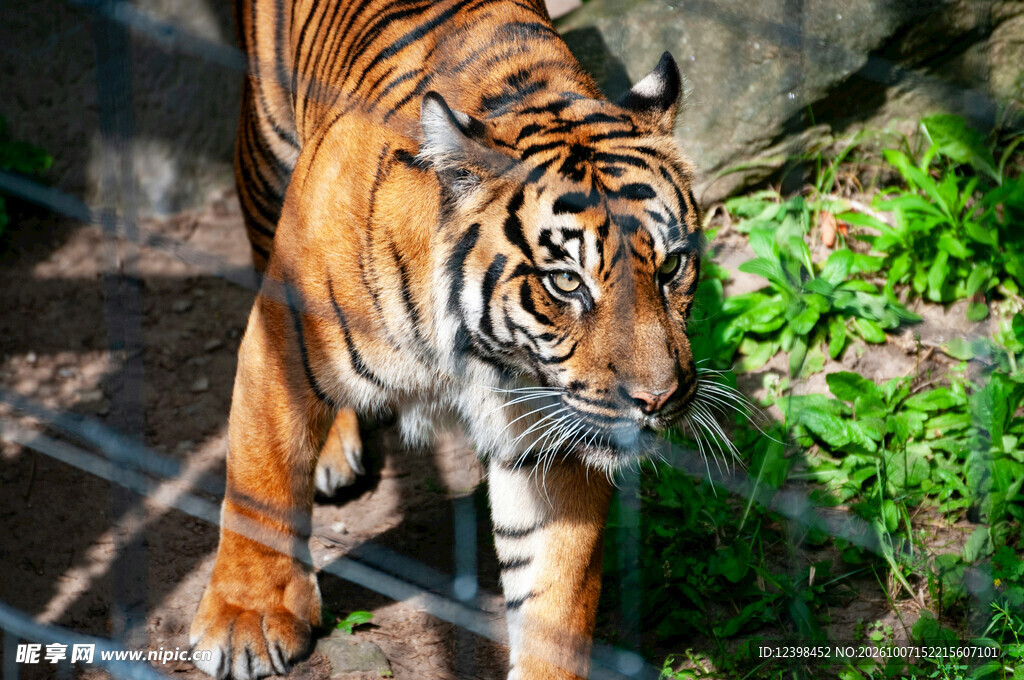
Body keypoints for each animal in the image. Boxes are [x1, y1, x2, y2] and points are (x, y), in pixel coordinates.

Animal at [189, 0, 704, 678]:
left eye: (671, 267)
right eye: (566, 280)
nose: (658, 400)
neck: (483, 354)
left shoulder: (549, 428)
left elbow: (555, 585)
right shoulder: (283, 338)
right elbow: (261, 476)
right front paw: (244, 619)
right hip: (264, 155)